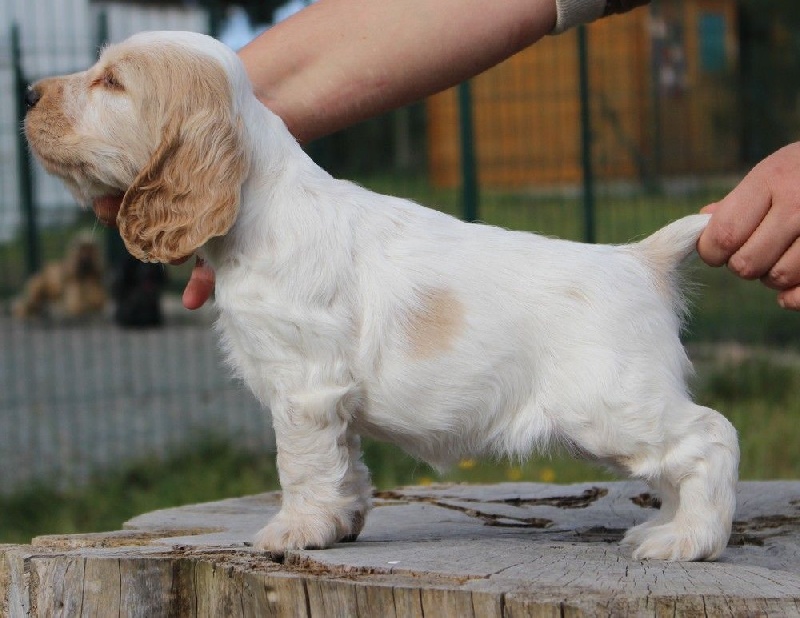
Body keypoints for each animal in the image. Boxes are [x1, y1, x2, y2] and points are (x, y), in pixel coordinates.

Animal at [23, 31, 736, 560]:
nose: (27, 94)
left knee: (711, 439)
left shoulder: (303, 389)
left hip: (612, 406)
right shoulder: (329, 400)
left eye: (112, 83)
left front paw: (294, 532)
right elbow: (344, 465)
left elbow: (301, 466)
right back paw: (665, 528)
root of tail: (640, 259)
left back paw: (689, 541)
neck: (262, 209)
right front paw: (340, 523)